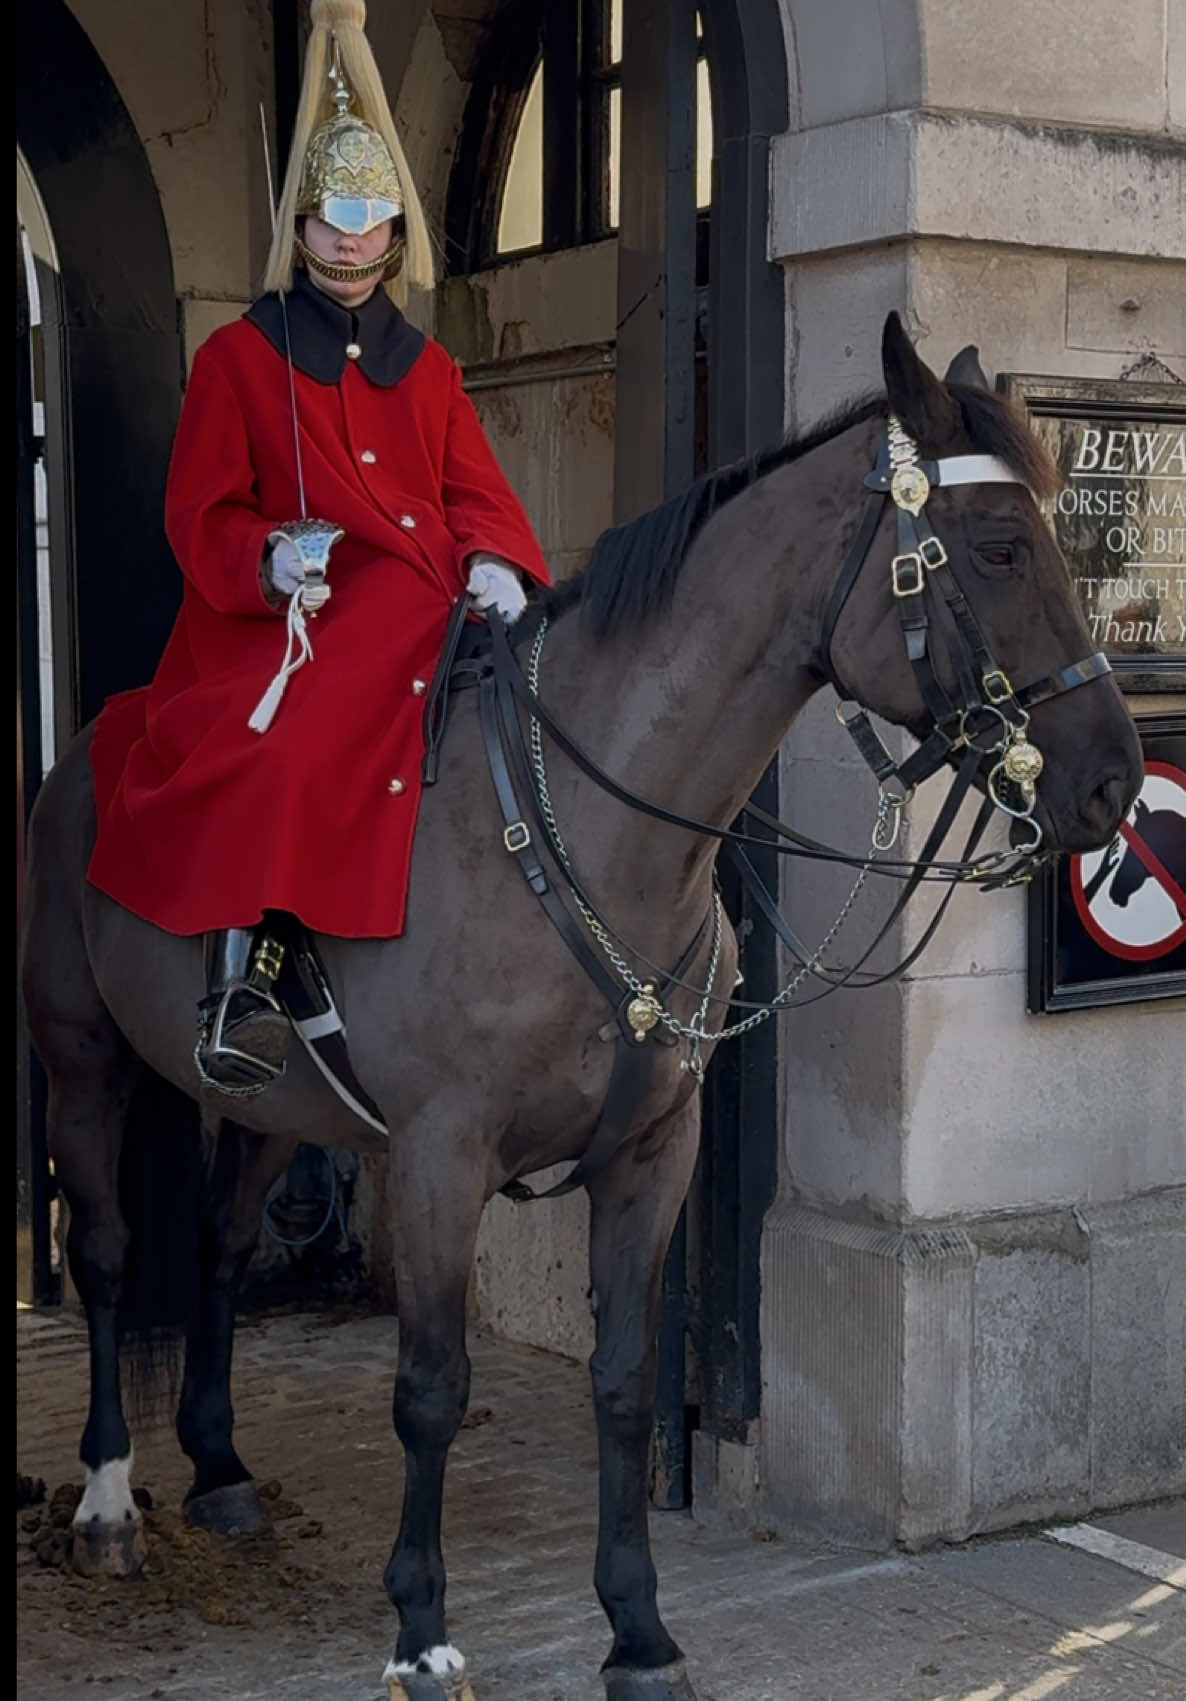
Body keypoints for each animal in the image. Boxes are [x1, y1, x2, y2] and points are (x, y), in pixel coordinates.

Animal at [18, 319, 1143, 1701]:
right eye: (995, 548)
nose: (1114, 782)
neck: (599, 839)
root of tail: (91, 748)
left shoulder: (652, 1152)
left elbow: (620, 1381)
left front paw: (639, 1630)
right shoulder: (439, 1159)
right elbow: (430, 1388)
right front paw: (422, 1627)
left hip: (279, 1109)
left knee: (225, 1246)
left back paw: (220, 1468)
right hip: (83, 1062)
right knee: (110, 1257)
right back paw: (106, 1502)